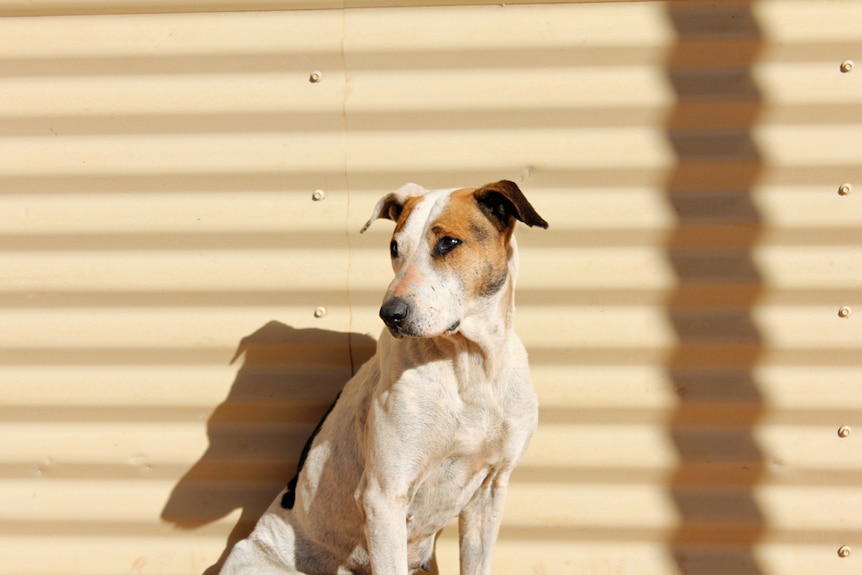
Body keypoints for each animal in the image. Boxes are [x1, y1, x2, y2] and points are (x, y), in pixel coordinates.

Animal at [219, 180, 552, 575]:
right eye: (394, 248)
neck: (469, 364)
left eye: (448, 243)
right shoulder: (384, 496)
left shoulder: (490, 491)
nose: (390, 314)